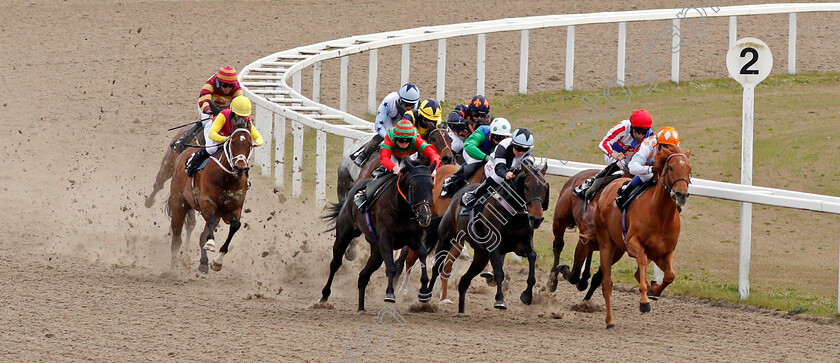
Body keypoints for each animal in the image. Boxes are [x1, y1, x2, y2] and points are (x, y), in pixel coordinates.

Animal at [166, 128, 254, 272]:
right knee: (176, 238)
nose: (240, 168)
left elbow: (235, 225)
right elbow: (210, 224)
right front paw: (211, 244)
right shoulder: (207, 203)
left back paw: (202, 263)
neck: (227, 179)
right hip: (179, 203)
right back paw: (172, 269)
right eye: (233, 143)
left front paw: (217, 261)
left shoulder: (232, 209)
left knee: (201, 235)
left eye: (250, 145)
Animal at [320, 163, 440, 312]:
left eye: (431, 186)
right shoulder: (386, 240)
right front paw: (389, 293)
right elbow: (391, 267)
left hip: (376, 252)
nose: (425, 216)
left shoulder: (416, 239)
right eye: (413, 186)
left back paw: (361, 307)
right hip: (344, 235)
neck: (402, 210)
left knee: (363, 275)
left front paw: (424, 292)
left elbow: (422, 255)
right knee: (335, 263)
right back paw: (324, 295)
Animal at [588, 145, 692, 330]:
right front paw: (644, 301)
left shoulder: (665, 252)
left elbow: (669, 275)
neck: (660, 214)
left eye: (689, 169)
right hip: (607, 243)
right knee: (607, 284)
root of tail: (608, 187)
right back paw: (610, 321)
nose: (682, 194)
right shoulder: (633, 244)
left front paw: (653, 291)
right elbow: (642, 263)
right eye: (671, 168)